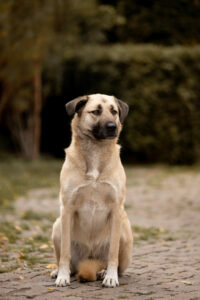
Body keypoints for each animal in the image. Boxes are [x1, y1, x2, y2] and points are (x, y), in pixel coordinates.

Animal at [50, 94, 134, 288]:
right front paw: (62, 276)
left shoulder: (116, 209)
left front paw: (111, 277)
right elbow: (65, 253)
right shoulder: (67, 208)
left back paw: (104, 272)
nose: (112, 127)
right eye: (96, 111)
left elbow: (112, 254)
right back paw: (61, 270)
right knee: (67, 260)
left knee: (115, 264)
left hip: (125, 230)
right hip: (57, 226)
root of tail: (90, 258)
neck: (96, 150)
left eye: (114, 111)